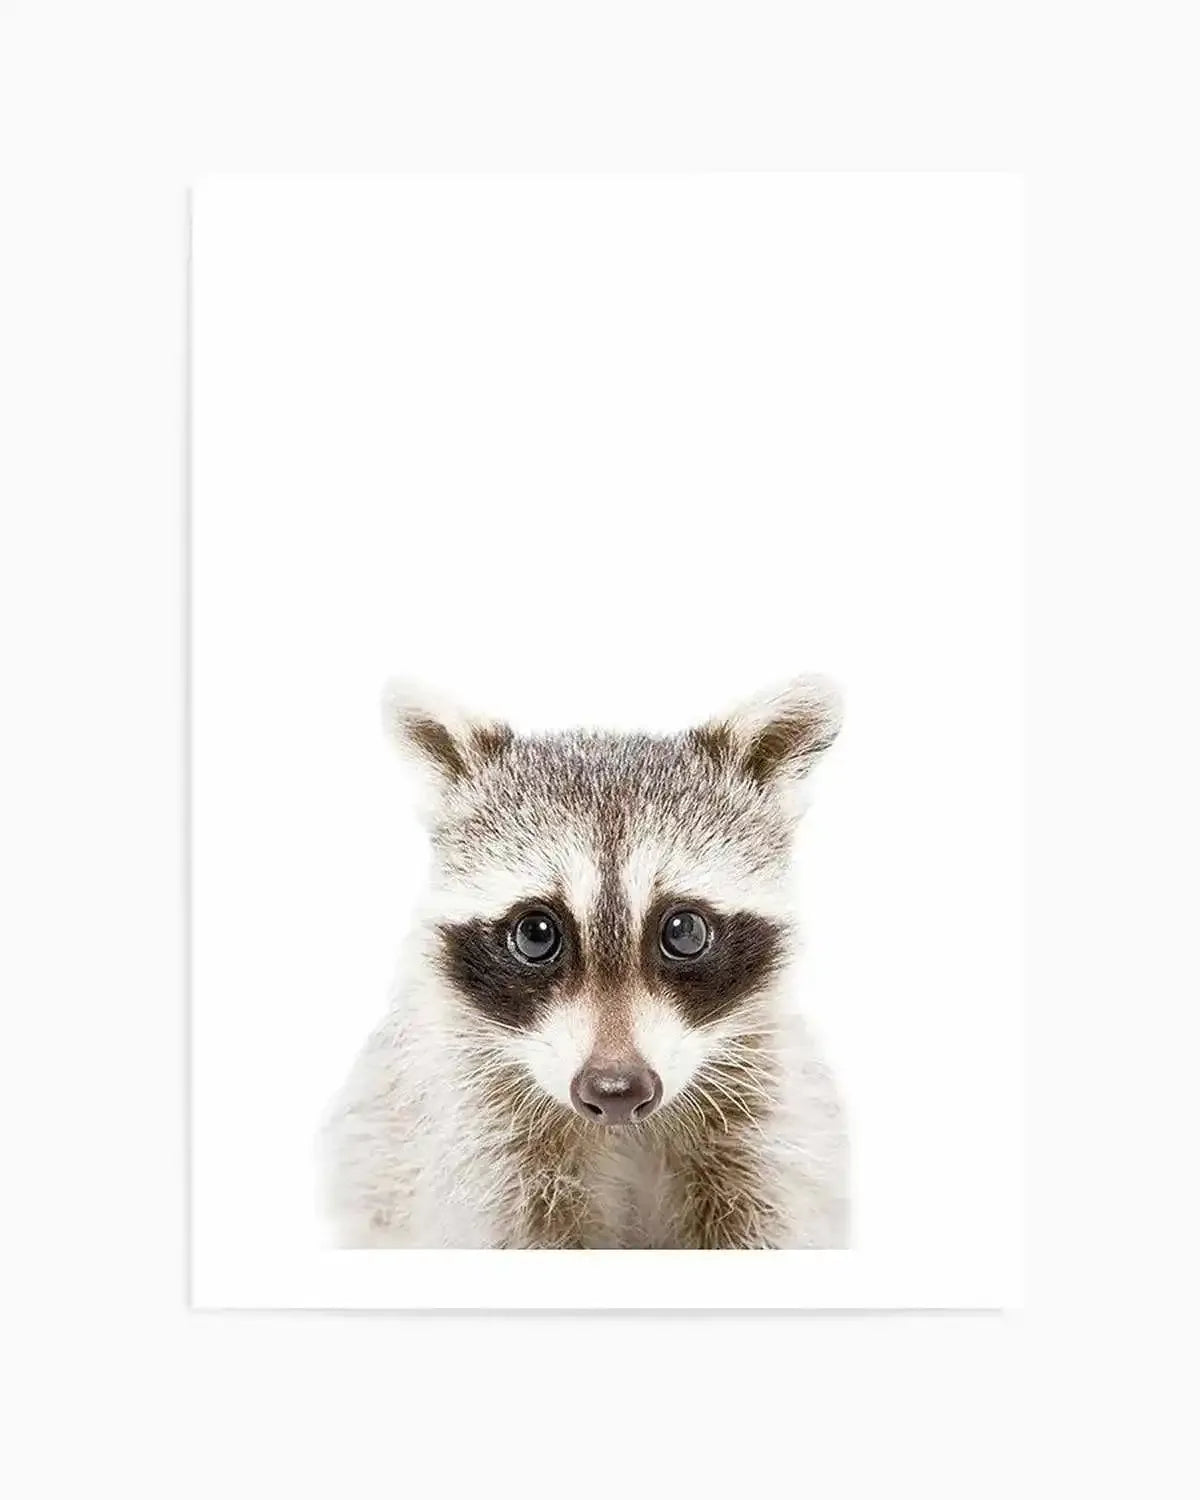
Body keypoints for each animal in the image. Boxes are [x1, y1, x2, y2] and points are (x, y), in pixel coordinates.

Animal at [322, 677, 847, 1249]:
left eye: (684, 931)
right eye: (535, 935)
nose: (616, 1091)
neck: (623, 1130)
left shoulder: (773, 1130)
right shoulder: (470, 1142)